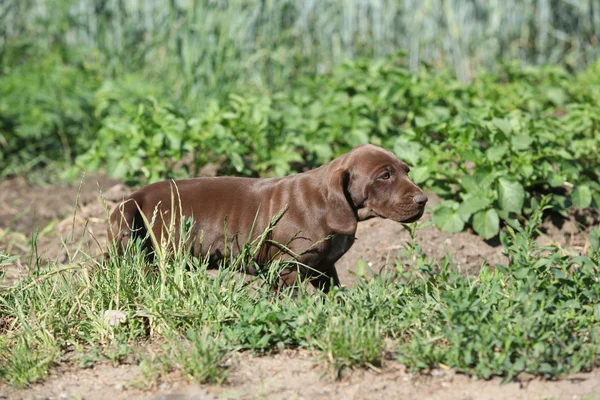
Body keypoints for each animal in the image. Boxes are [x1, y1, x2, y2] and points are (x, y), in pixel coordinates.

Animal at [108, 144, 426, 290]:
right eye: (384, 176)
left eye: (406, 171)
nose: (423, 200)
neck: (331, 204)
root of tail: (132, 197)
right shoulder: (286, 269)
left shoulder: (324, 268)